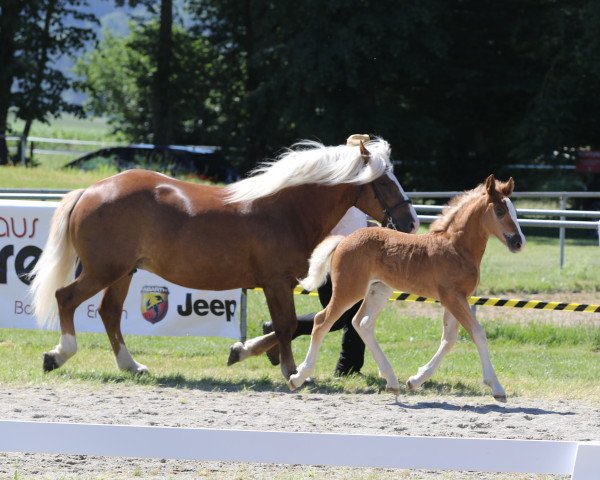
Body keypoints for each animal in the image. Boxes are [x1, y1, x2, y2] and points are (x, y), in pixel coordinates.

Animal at [290, 175, 524, 402]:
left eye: (514, 211)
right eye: (500, 211)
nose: (519, 242)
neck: (456, 248)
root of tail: (344, 239)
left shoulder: (458, 298)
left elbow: (449, 339)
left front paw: (415, 380)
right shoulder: (452, 297)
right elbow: (477, 333)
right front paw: (497, 388)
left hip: (379, 290)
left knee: (361, 322)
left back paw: (392, 382)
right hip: (350, 289)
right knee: (322, 321)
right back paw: (298, 377)